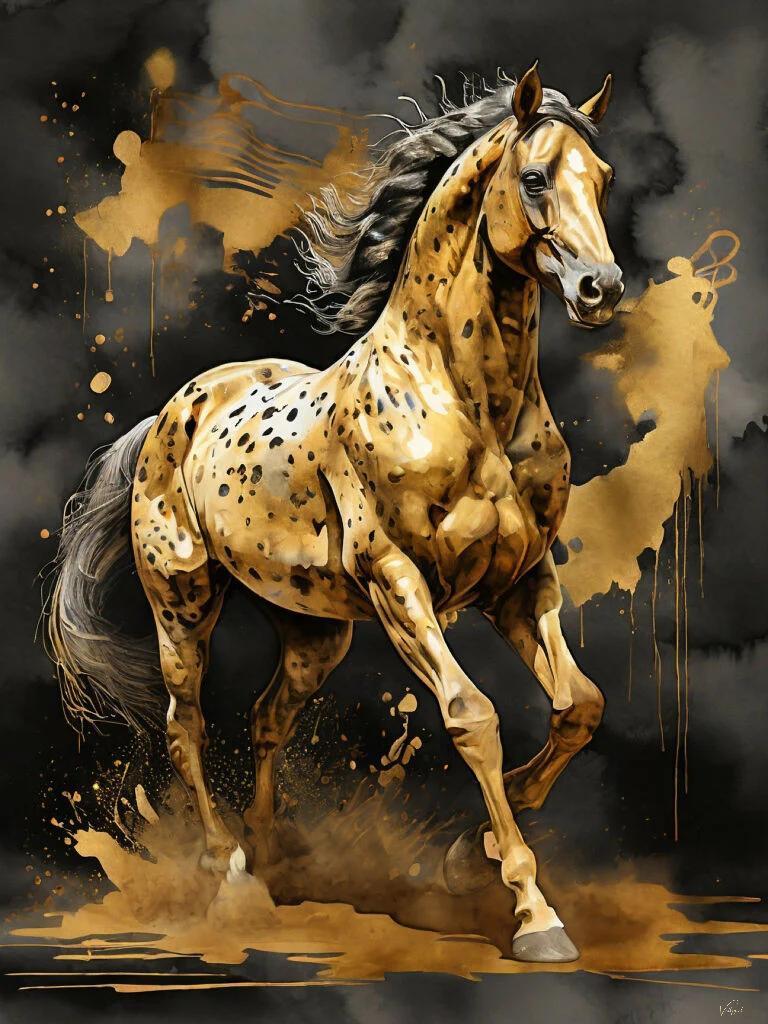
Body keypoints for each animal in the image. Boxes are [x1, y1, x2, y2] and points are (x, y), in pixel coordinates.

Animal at [48, 64, 623, 963]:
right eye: (534, 179)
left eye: (601, 179)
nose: (602, 288)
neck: (464, 401)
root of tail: (172, 413)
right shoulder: (399, 583)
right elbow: (473, 717)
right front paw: (534, 915)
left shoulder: (519, 586)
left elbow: (579, 707)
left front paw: (469, 856)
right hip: (183, 606)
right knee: (185, 724)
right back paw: (231, 871)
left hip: (317, 633)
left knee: (267, 717)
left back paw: (278, 850)